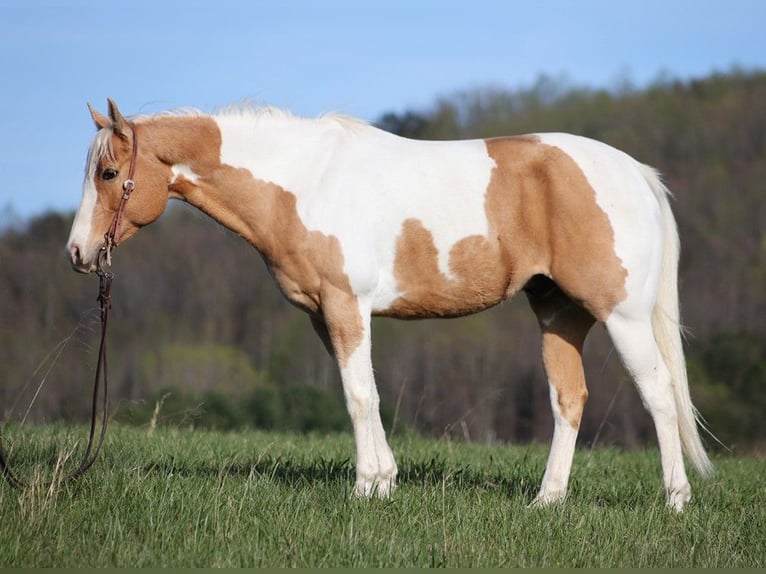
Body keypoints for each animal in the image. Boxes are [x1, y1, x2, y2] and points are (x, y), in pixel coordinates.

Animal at [64, 99, 712, 512]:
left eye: (110, 172)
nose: (78, 252)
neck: (304, 183)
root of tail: (635, 173)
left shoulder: (346, 306)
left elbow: (359, 396)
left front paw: (366, 487)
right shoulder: (323, 315)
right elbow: (362, 396)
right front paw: (384, 484)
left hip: (623, 316)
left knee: (658, 394)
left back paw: (674, 501)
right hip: (559, 314)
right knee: (569, 400)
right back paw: (546, 502)